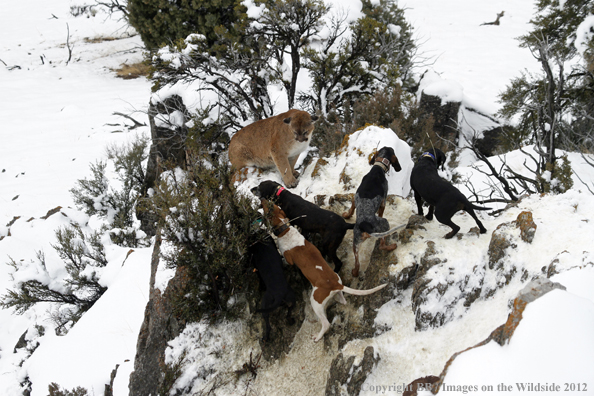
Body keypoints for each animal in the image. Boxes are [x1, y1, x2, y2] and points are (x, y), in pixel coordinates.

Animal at [262, 200, 386, 342]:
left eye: (269, 209)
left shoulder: (288, 258)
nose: (263, 201)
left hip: (315, 301)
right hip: (335, 285)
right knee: (342, 300)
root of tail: (336, 284)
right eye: (272, 205)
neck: (285, 230)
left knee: (326, 324)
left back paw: (318, 336)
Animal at [340, 146, 400, 278]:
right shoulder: (383, 202)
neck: (378, 168)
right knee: (382, 245)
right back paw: (392, 246)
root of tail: (365, 226)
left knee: (357, 265)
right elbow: (381, 211)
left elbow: (352, 207)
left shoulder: (355, 197)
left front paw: (347, 215)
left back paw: (355, 272)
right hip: (384, 224)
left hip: (356, 243)